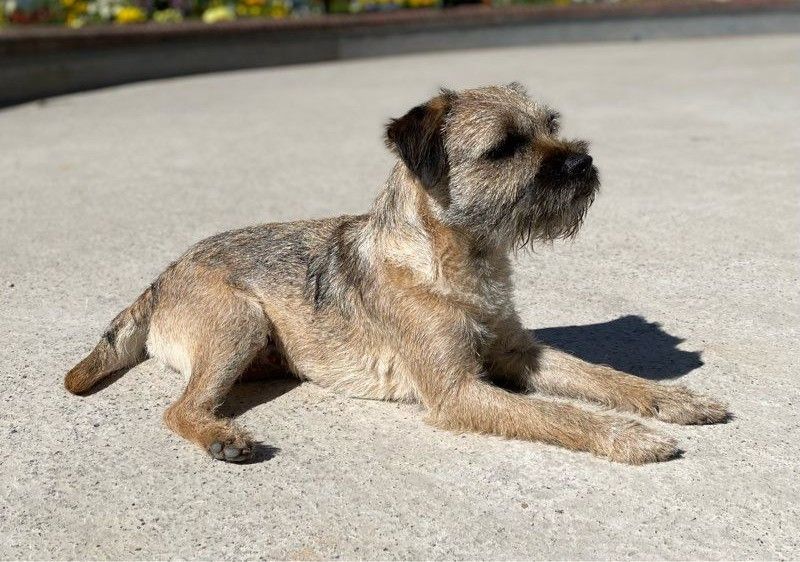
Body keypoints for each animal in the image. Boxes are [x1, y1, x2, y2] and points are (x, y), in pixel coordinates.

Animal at [65, 84, 729, 464]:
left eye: (551, 126)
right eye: (505, 147)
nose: (583, 161)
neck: (461, 262)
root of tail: (161, 278)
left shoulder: (521, 353)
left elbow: (602, 376)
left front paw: (672, 400)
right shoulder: (458, 390)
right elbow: (563, 414)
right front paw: (632, 438)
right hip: (239, 320)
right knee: (177, 409)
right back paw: (223, 436)